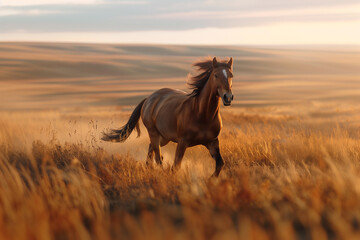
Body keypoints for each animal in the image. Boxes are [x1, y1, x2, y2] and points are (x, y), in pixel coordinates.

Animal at [102, 56, 235, 176]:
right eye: (216, 75)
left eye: (231, 75)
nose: (227, 97)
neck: (202, 114)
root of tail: (149, 98)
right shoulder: (183, 142)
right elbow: (175, 166)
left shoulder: (212, 142)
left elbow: (220, 164)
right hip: (154, 133)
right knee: (158, 157)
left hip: (164, 137)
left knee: (152, 151)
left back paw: (149, 168)